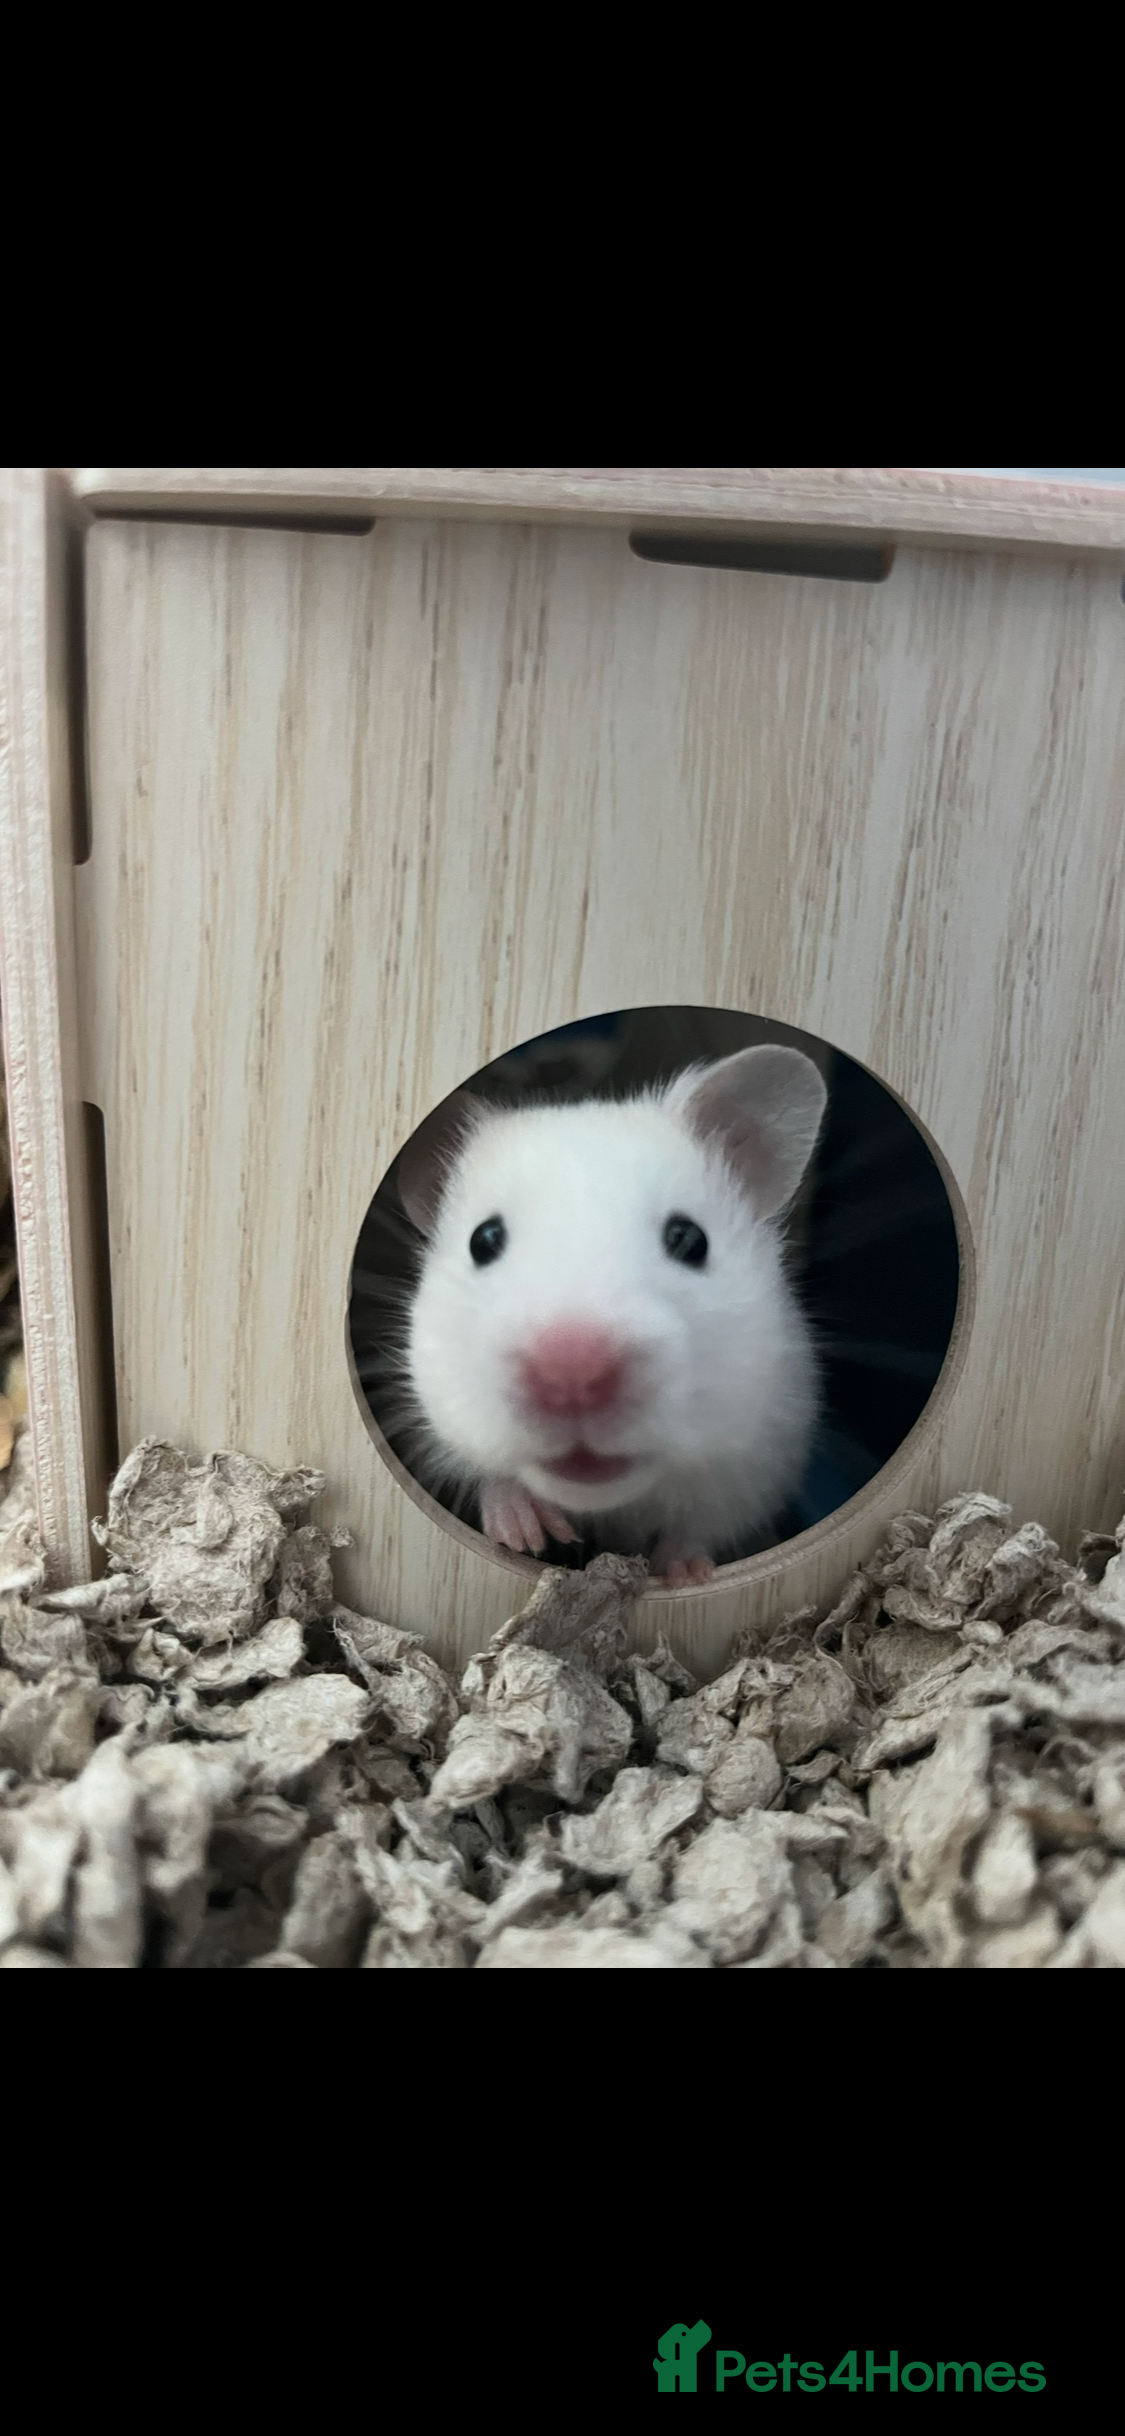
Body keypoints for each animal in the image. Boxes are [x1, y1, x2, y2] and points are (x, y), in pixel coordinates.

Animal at [395, 1045, 827, 1587]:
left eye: (690, 1240)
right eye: (483, 1240)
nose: (573, 1375)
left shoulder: (764, 1455)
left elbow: (703, 1525)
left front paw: (684, 1573)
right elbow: (487, 1474)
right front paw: (527, 1531)